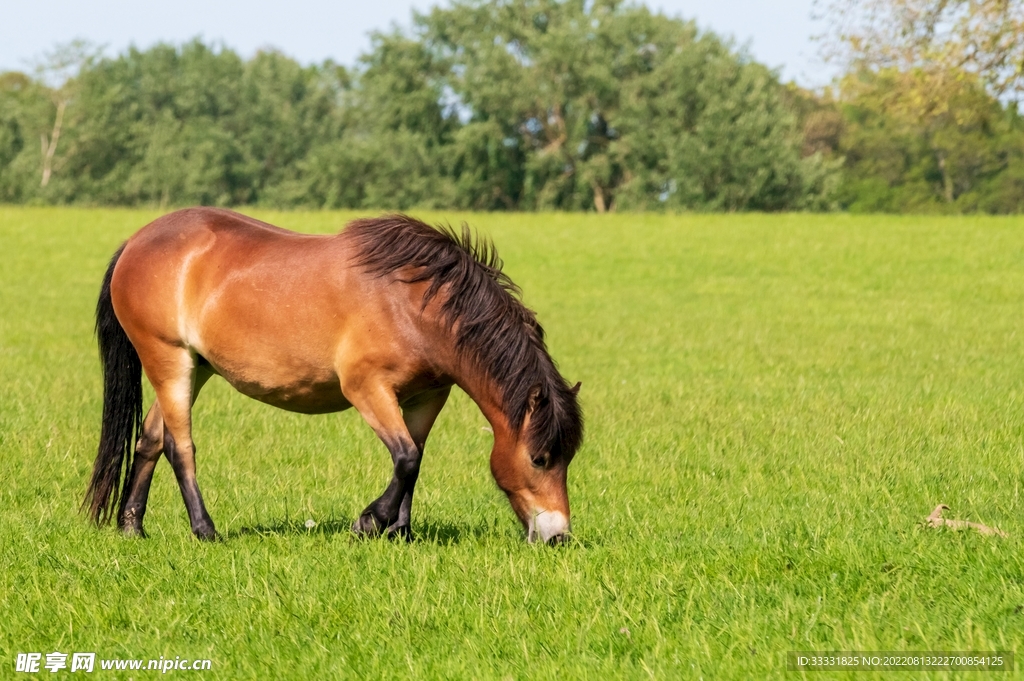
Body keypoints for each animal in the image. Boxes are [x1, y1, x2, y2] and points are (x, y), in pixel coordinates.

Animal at [82, 208, 583, 545]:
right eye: (540, 458)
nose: (558, 536)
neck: (415, 303)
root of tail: (136, 241)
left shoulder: (427, 396)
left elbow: (415, 459)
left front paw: (400, 532)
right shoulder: (366, 388)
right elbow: (406, 458)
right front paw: (368, 523)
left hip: (195, 367)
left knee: (150, 439)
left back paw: (131, 526)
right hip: (168, 359)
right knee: (179, 447)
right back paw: (205, 530)